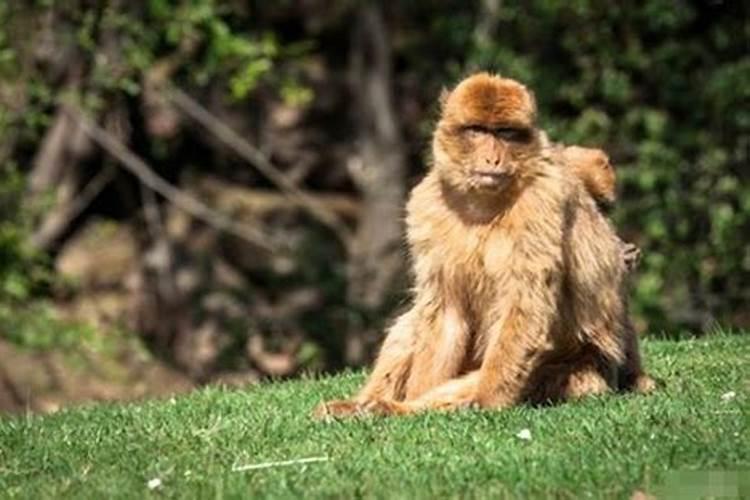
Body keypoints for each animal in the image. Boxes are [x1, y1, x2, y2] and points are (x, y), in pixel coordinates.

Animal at [314, 72, 656, 416]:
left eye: (504, 132)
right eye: (478, 130)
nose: (492, 158)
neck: (483, 203)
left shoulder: (540, 202)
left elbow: (525, 305)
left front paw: (481, 402)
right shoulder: (428, 205)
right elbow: (445, 310)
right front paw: (410, 396)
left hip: (583, 367)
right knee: (413, 322)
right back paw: (363, 404)